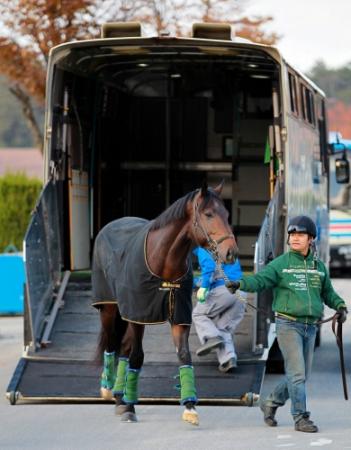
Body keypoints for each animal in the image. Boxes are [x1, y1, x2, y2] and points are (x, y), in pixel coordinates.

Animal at [91, 181, 239, 424]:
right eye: (208, 214)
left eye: (226, 214)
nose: (231, 253)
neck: (163, 260)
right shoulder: (139, 316)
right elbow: (137, 356)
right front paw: (130, 407)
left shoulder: (179, 317)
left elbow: (183, 355)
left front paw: (190, 406)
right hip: (110, 309)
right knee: (112, 343)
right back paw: (108, 388)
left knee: (123, 348)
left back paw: (120, 396)